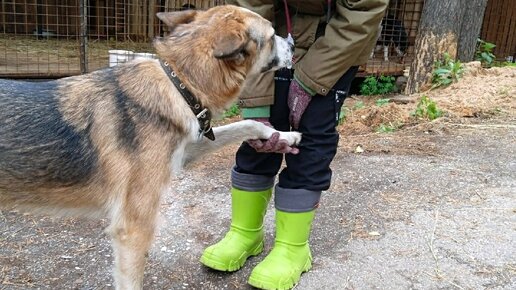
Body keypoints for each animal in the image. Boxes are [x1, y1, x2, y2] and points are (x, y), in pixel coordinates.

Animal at [0, 5, 298, 290]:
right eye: (273, 35)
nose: (294, 45)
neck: (179, 83)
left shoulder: (184, 152)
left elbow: (248, 123)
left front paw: (283, 135)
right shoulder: (133, 230)